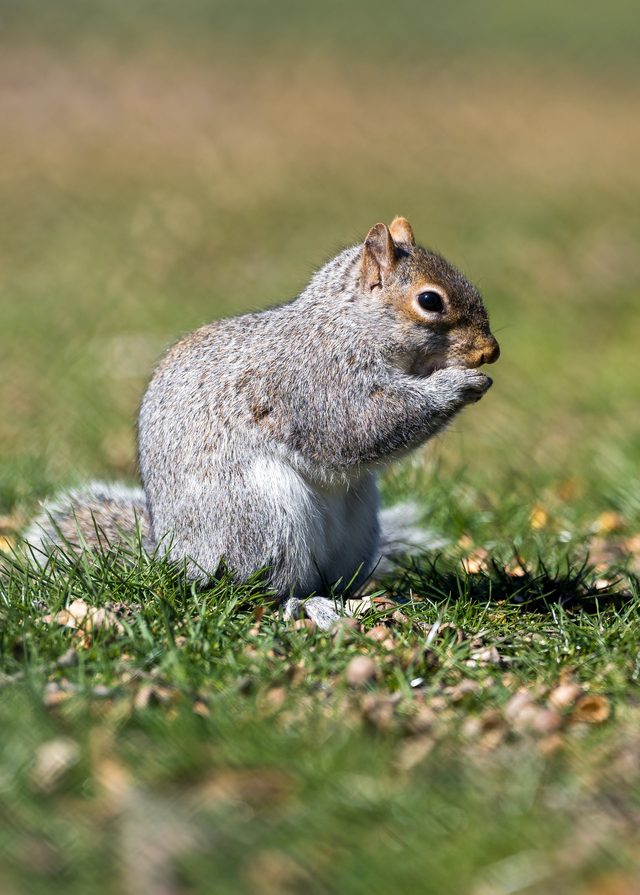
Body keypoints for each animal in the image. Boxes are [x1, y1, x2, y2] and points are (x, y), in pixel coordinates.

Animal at [24, 217, 499, 629]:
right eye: (429, 301)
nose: (490, 352)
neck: (345, 326)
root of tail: (173, 556)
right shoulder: (316, 384)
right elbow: (361, 425)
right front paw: (457, 384)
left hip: (358, 526)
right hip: (263, 521)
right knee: (259, 589)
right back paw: (304, 604)